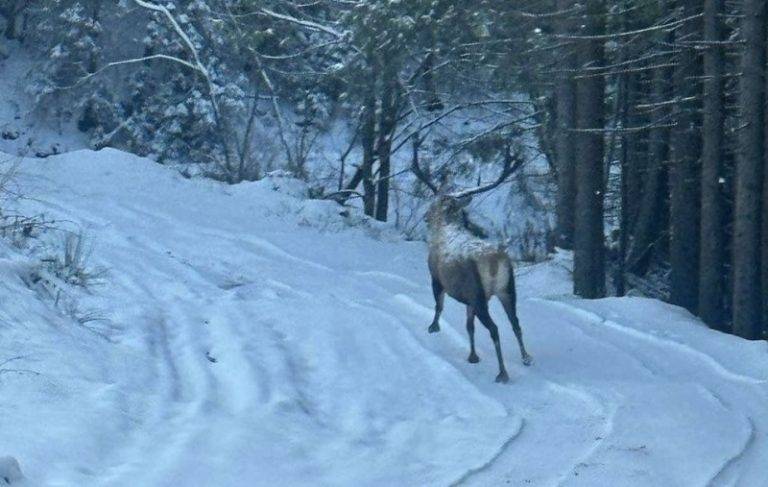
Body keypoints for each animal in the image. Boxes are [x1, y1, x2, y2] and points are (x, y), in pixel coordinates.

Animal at [412, 143, 532, 384]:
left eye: (434, 203)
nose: (426, 217)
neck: (442, 231)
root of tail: (497, 260)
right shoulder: (467, 298)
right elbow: (469, 326)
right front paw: (472, 355)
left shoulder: (436, 278)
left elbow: (438, 306)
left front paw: (433, 327)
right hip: (508, 288)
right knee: (515, 322)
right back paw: (525, 358)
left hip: (479, 294)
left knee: (495, 328)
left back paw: (502, 373)